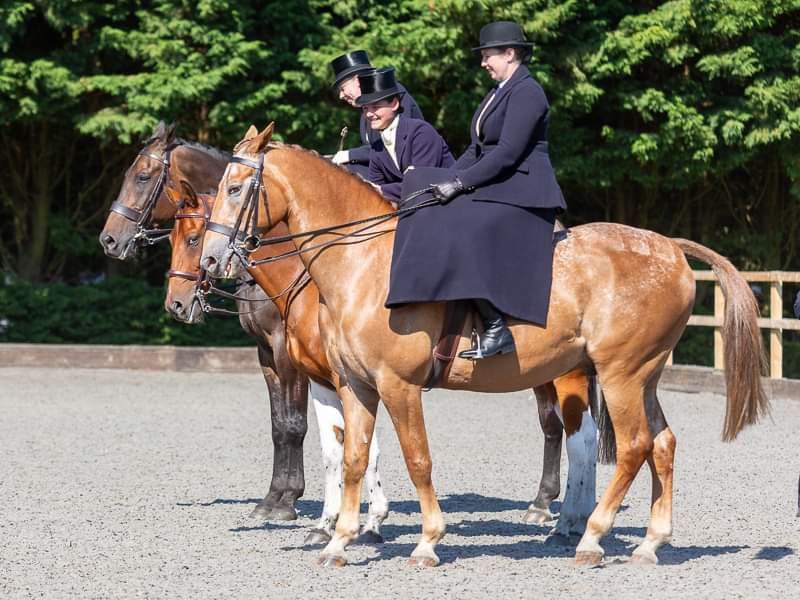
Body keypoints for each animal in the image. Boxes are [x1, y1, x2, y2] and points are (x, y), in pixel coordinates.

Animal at [200, 123, 768, 568]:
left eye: (236, 188)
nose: (210, 262)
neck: (362, 262)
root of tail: (669, 247)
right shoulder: (355, 385)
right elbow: (355, 458)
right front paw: (339, 541)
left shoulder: (397, 386)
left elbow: (417, 459)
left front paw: (426, 542)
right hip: (642, 374)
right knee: (662, 444)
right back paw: (649, 542)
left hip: (619, 373)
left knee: (630, 446)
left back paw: (588, 537)